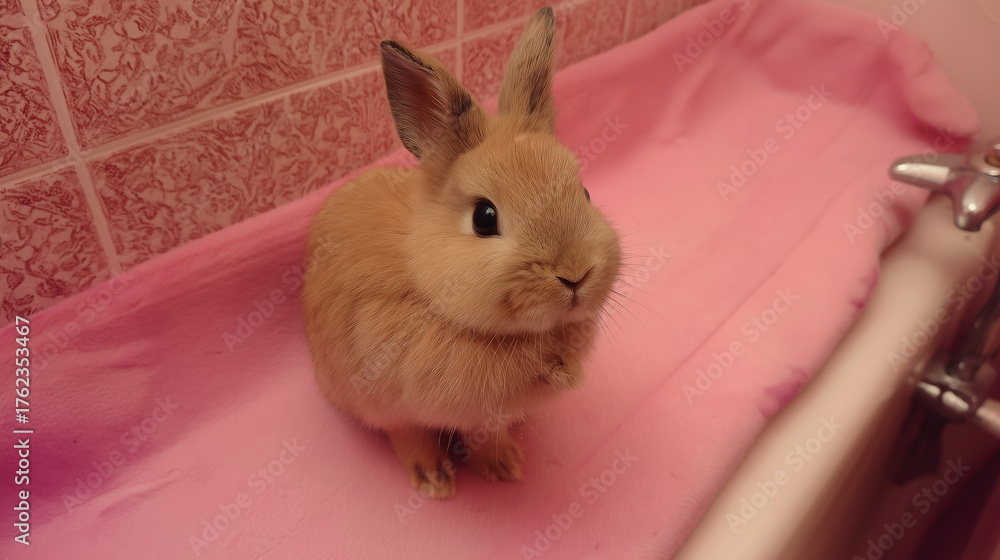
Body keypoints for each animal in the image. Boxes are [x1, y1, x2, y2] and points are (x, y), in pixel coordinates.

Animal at [302, 6, 622, 498]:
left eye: (584, 193)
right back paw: (434, 480)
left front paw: (508, 462)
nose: (574, 274)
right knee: (404, 433)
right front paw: (556, 372)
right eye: (484, 218)